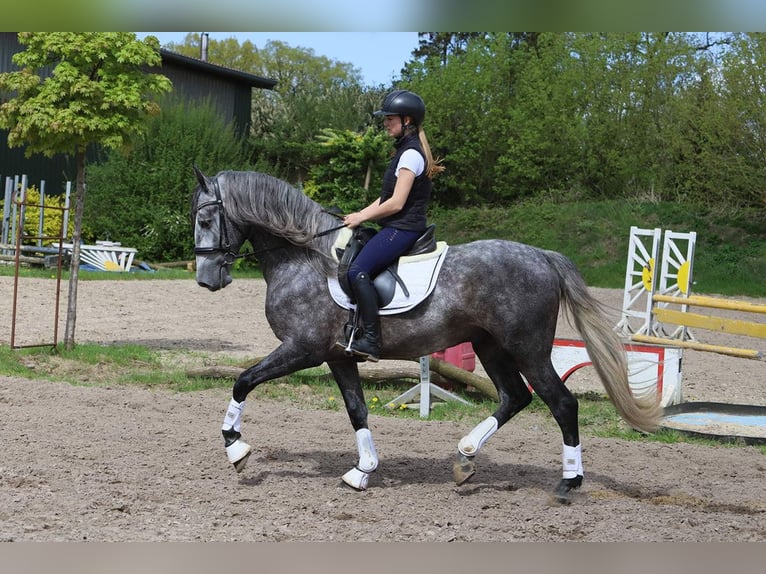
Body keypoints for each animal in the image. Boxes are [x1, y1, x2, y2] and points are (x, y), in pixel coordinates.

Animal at [191, 167, 661, 503]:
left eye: (207, 218)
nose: (206, 280)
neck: (305, 258)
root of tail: (543, 257)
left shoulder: (302, 349)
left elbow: (244, 380)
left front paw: (236, 448)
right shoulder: (338, 356)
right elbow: (357, 411)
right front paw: (363, 471)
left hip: (528, 349)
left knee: (561, 404)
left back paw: (567, 483)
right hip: (490, 346)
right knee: (514, 397)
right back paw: (465, 459)